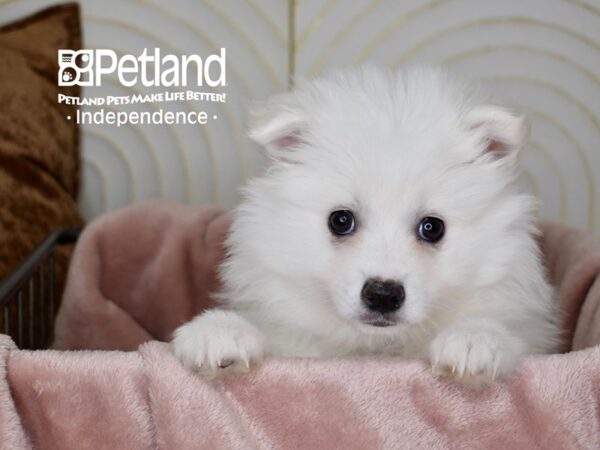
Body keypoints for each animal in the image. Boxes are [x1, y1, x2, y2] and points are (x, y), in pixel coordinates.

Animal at [170, 67, 564, 386]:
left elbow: (503, 332)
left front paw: (473, 341)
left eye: (433, 227)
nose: (383, 294)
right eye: (341, 220)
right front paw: (219, 333)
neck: (376, 347)